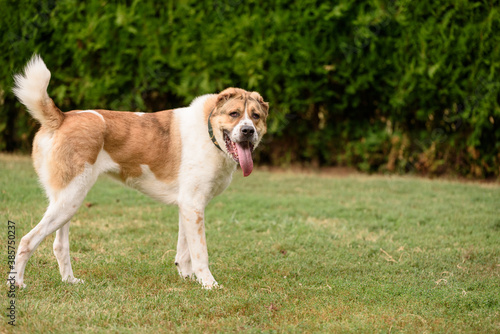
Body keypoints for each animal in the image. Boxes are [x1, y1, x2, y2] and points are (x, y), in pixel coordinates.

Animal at [9, 54, 268, 290]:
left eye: (256, 116)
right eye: (234, 114)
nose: (248, 131)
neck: (209, 130)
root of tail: (61, 118)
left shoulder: (188, 206)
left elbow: (185, 251)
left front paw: (187, 278)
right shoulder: (193, 206)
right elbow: (200, 253)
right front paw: (209, 284)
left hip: (66, 202)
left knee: (59, 245)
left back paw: (70, 281)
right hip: (69, 199)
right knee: (26, 241)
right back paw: (18, 283)